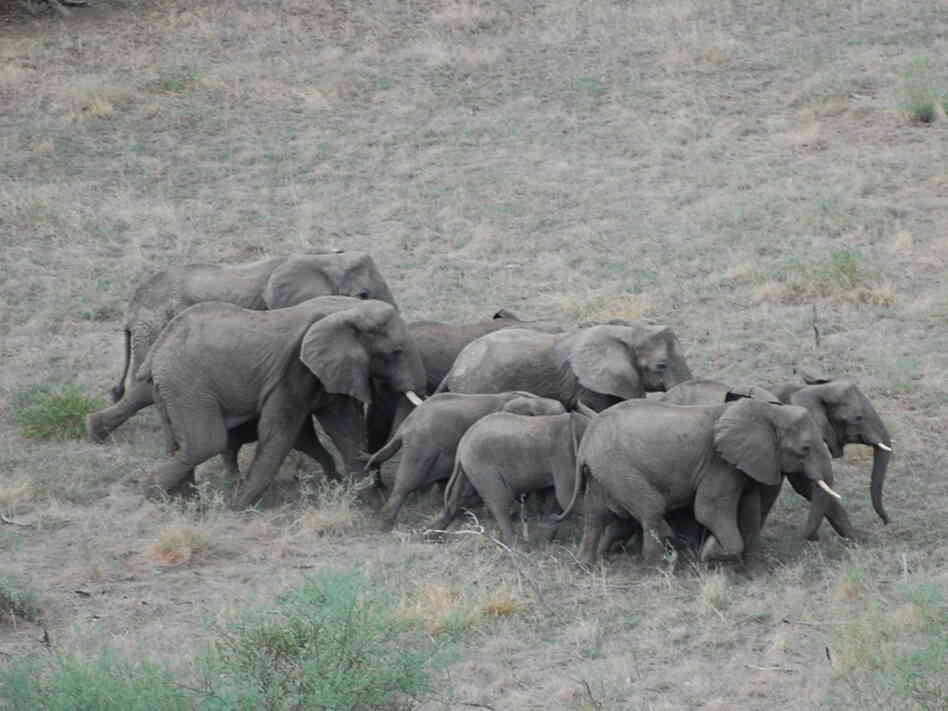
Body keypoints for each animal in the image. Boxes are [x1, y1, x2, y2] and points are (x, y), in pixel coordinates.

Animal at [87, 251, 398, 444]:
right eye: (363, 295)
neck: (324, 259)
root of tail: (131, 310)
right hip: (155, 327)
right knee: (143, 387)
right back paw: (97, 432)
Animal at [136, 296, 425, 509]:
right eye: (395, 352)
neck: (349, 310)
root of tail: (156, 350)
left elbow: (344, 429)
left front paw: (369, 503)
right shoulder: (294, 370)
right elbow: (279, 432)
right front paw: (238, 507)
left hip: (171, 387)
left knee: (180, 443)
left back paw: (183, 502)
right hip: (187, 383)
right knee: (206, 443)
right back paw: (152, 493)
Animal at [426, 409, 589, 545]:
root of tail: (462, 446)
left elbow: (554, 497)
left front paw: (548, 535)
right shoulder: (564, 455)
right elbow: (566, 497)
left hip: (468, 468)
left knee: (456, 499)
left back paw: (430, 535)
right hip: (482, 466)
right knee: (500, 501)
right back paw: (519, 548)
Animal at [566, 398, 840, 567]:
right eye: (805, 449)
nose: (812, 539)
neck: (766, 411)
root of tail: (586, 442)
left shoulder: (743, 464)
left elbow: (750, 510)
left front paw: (755, 571)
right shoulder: (719, 463)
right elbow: (708, 510)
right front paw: (708, 553)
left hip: (602, 470)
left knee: (596, 515)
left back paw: (586, 565)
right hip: (616, 464)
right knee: (651, 509)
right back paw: (656, 567)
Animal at [661, 375, 892, 540]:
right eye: (858, 418)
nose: (887, 521)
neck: (803, 389)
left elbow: (809, 487)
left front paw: (857, 541)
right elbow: (798, 486)